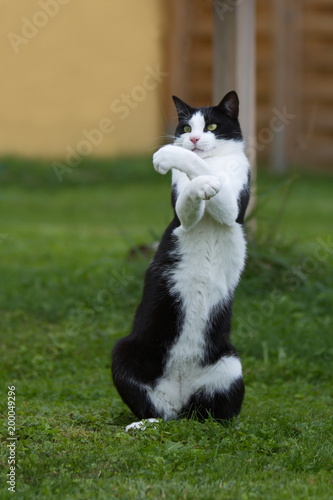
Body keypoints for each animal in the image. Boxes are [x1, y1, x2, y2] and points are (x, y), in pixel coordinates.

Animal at [111, 92, 249, 424]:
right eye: (186, 127)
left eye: (212, 125)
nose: (194, 138)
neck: (214, 162)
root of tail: (182, 394)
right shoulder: (184, 217)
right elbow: (188, 202)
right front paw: (185, 168)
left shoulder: (233, 209)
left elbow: (215, 187)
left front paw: (182, 163)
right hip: (123, 353)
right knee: (158, 412)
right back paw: (142, 424)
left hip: (231, 364)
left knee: (213, 416)